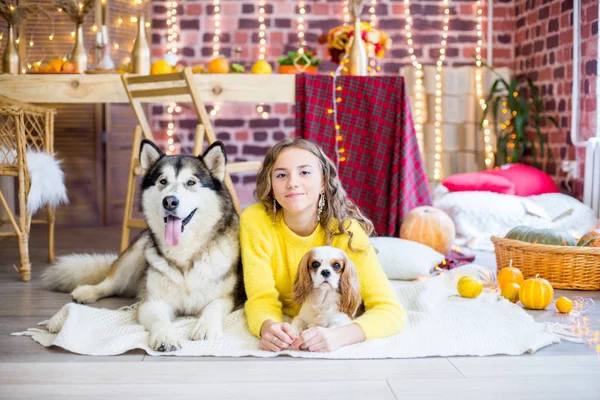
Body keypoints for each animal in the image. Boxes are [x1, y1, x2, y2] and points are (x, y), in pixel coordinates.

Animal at [41, 139, 244, 352]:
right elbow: (159, 319)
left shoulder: (227, 297)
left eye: (191, 182)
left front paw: (205, 327)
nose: (169, 201)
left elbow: (213, 308)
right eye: (163, 181)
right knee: (111, 283)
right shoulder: (151, 302)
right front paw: (165, 335)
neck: (184, 254)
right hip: (135, 253)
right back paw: (88, 291)